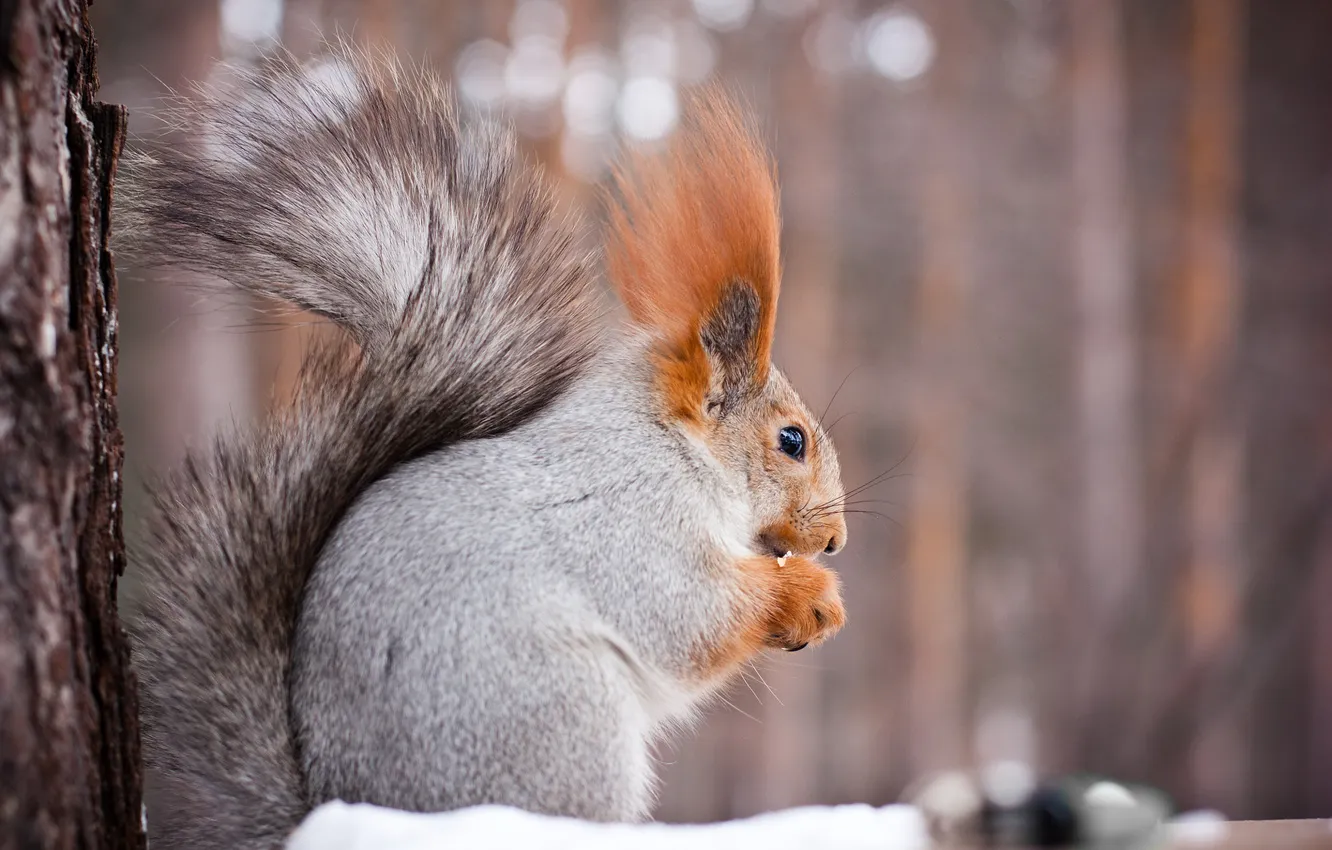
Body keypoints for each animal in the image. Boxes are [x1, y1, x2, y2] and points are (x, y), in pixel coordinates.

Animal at [120, 48, 849, 850]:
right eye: (791, 440)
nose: (837, 540)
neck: (671, 448)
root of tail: (337, 809)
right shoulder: (625, 526)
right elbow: (690, 615)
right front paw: (810, 599)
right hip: (565, 719)